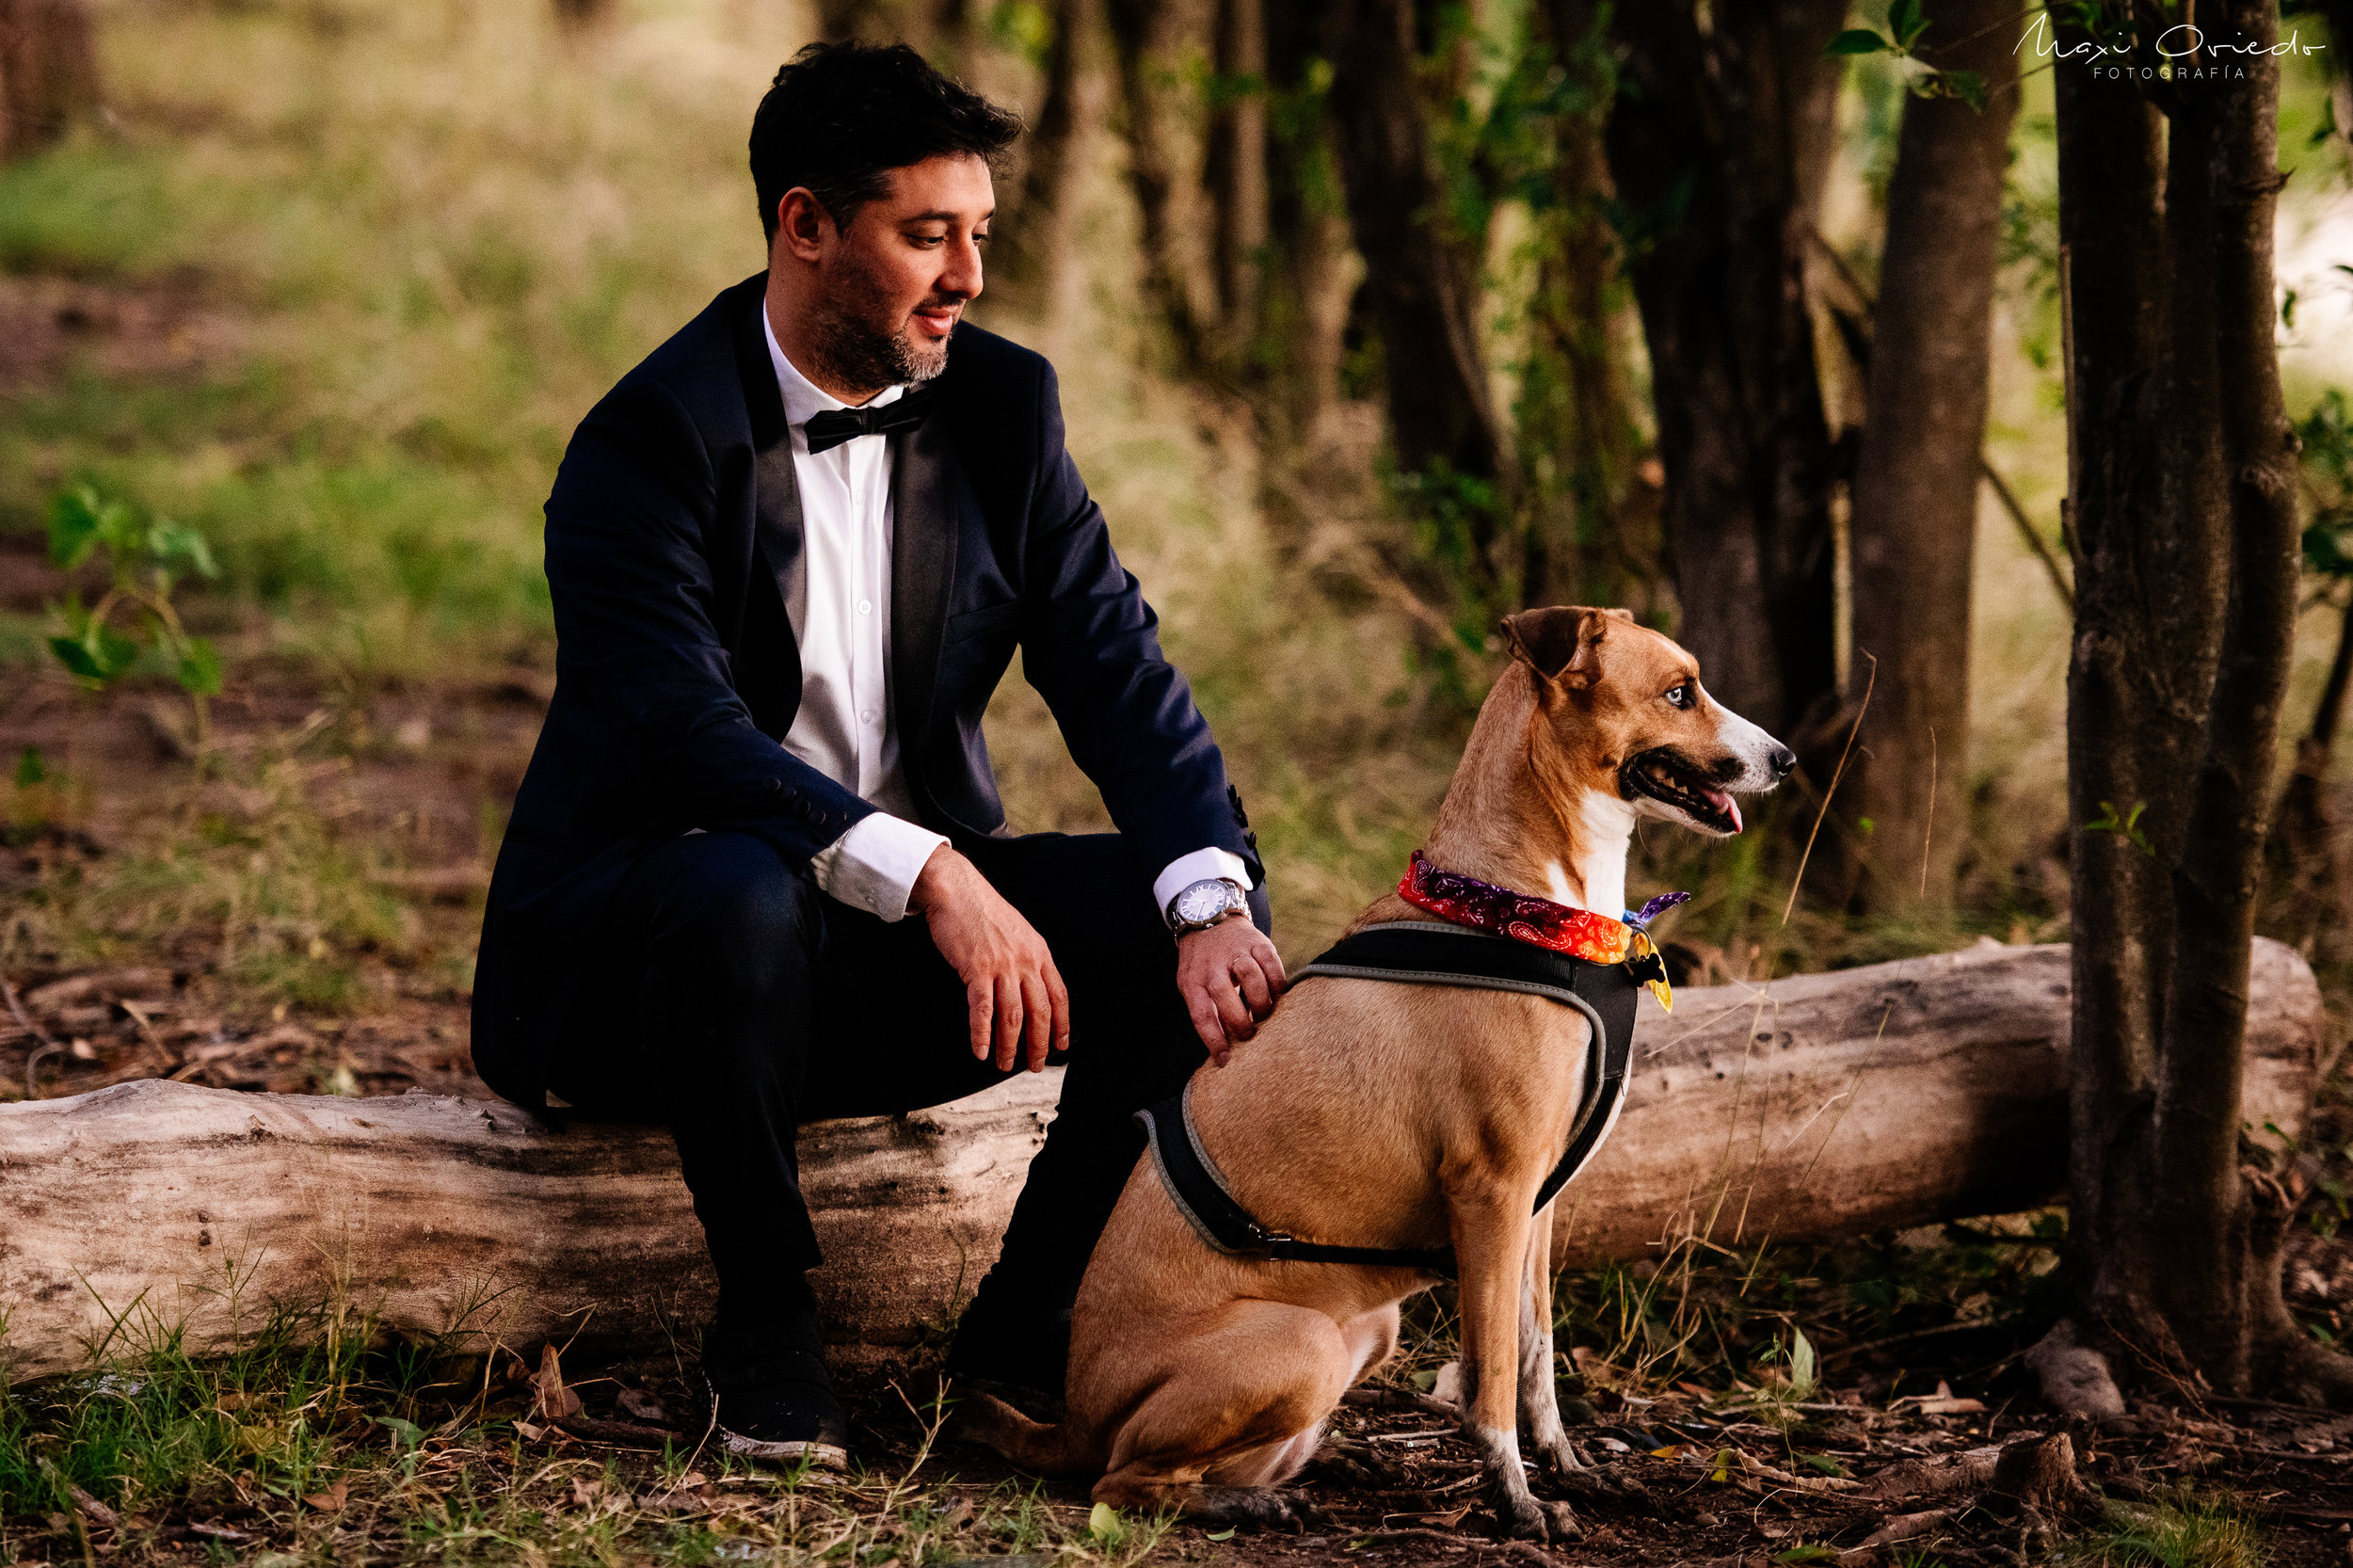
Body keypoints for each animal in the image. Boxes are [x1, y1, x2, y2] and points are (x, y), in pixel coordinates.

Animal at [965, 602, 1788, 1534]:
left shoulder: (1538, 1207)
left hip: (1371, 1328)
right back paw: (1251, 1503)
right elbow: (1490, 1383)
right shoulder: (1492, 1196)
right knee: (1126, 1480)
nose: (1786, 760)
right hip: (1299, 1341)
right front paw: (1515, 1498)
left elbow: (1537, 1358)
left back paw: (1329, 1463)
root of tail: (1072, 1417)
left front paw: (1570, 1469)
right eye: (1680, 693)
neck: (1514, 906)